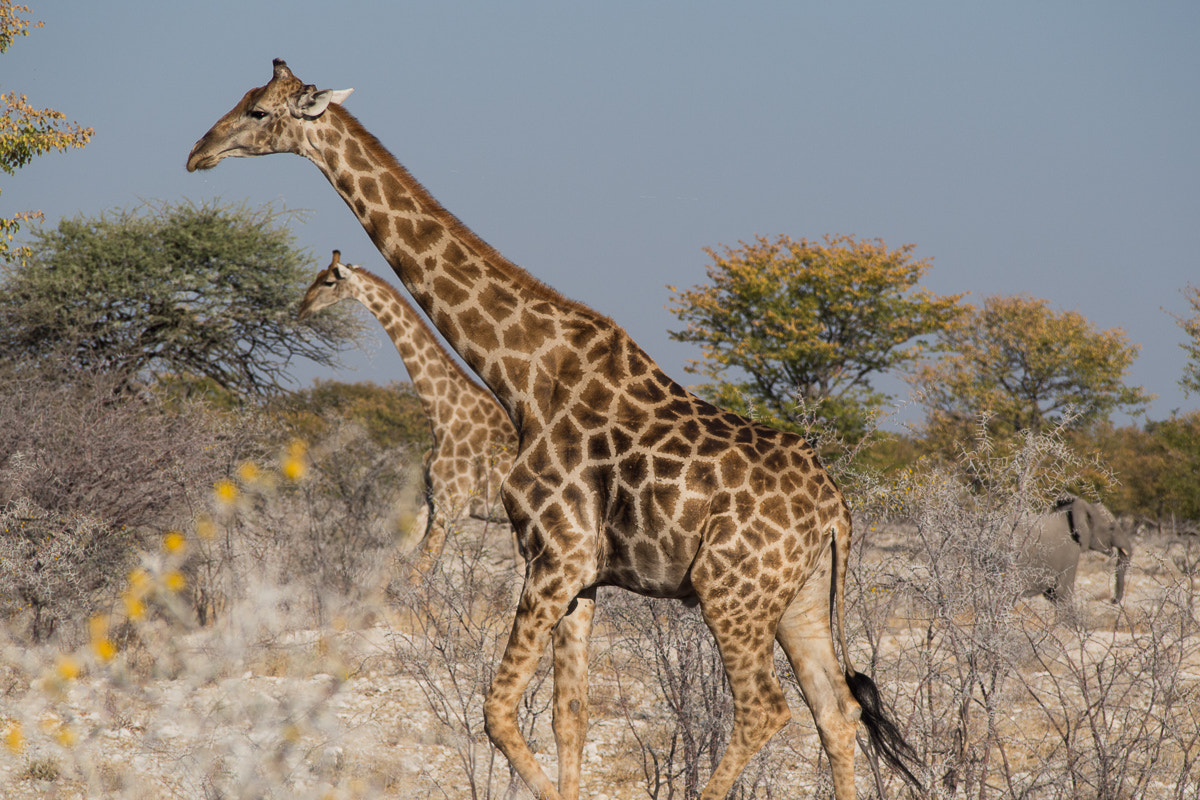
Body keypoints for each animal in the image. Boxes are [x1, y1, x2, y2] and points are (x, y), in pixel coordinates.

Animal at [298, 249, 517, 566]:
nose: (302, 308)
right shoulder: (430, 503)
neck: (443, 416)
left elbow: (418, 571)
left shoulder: (451, 507)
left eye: (328, 281)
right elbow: (392, 562)